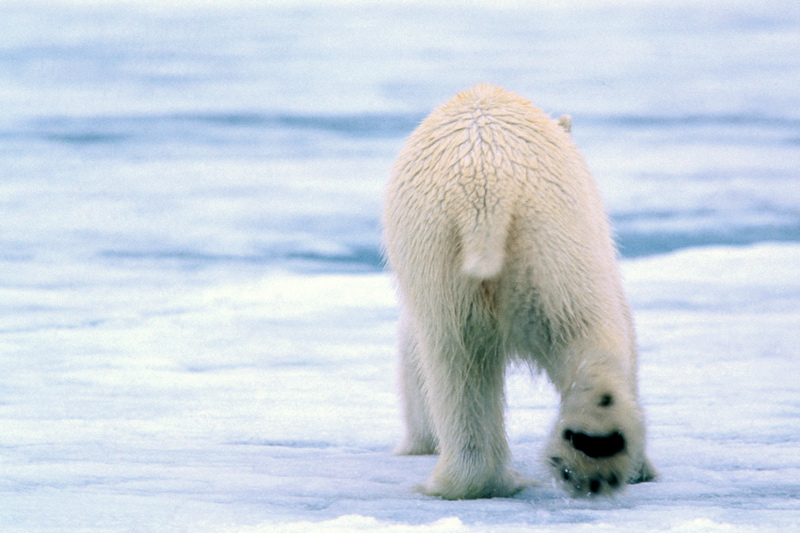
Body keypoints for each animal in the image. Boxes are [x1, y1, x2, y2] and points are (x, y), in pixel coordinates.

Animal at [382, 84, 656, 498]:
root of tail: (483, 192)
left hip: (446, 254)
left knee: (457, 361)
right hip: (550, 243)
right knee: (584, 332)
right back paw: (596, 446)